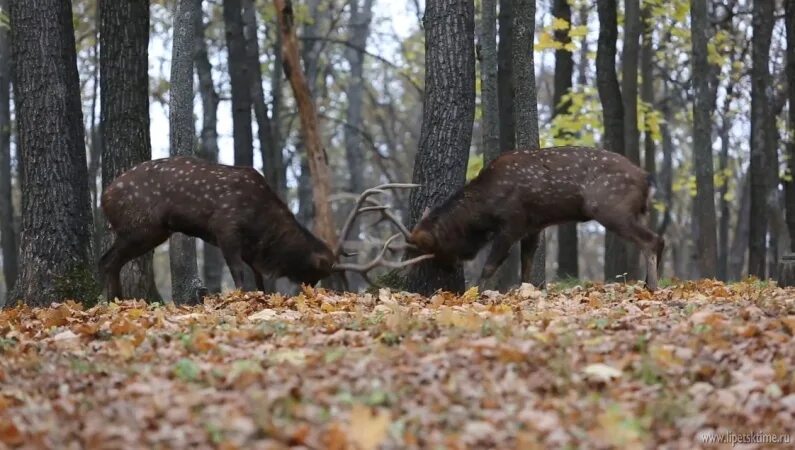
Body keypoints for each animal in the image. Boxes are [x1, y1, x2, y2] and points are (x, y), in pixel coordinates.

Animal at [102, 156, 432, 300]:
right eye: (319, 269)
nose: (309, 293)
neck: (260, 225)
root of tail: (104, 196)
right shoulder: (225, 227)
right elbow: (238, 273)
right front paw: (240, 298)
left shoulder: (251, 248)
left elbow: (260, 276)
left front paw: (261, 296)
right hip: (141, 226)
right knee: (108, 259)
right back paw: (118, 300)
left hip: (151, 230)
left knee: (108, 259)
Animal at [408, 146, 664, 290]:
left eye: (434, 248)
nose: (448, 269)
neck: (485, 209)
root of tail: (647, 179)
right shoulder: (533, 225)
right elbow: (527, 264)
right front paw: (525, 291)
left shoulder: (513, 222)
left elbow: (490, 265)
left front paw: (475, 293)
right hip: (636, 212)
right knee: (658, 239)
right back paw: (647, 282)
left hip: (612, 208)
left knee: (652, 240)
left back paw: (652, 287)